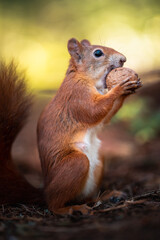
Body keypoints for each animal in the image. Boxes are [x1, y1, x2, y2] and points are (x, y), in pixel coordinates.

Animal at [0, 38, 141, 215]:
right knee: (53, 204)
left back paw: (105, 196)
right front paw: (119, 88)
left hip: (98, 161)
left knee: (86, 198)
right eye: (98, 53)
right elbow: (93, 111)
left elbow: (104, 119)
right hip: (75, 164)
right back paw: (70, 209)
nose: (123, 59)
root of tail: (45, 191)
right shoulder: (76, 95)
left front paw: (131, 86)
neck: (83, 77)